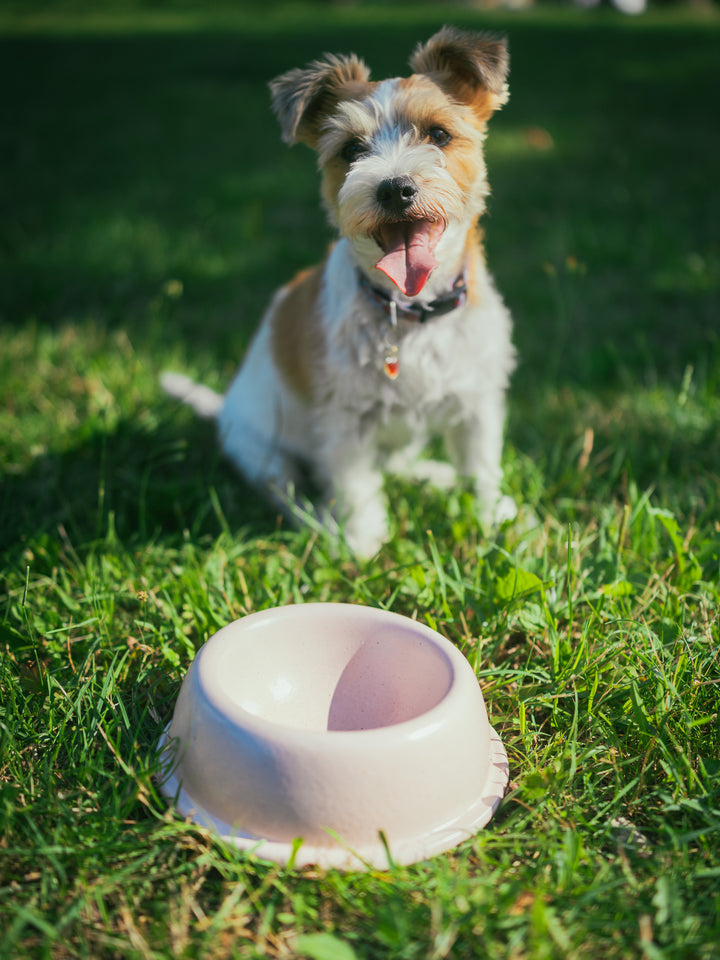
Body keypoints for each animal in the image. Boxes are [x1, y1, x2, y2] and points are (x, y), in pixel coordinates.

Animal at [161, 26, 516, 556]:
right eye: (351, 149)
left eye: (438, 134)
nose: (394, 188)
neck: (409, 311)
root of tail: (223, 408)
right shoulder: (346, 423)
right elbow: (357, 487)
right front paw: (363, 544)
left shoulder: (476, 405)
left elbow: (481, 469)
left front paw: (494, 518)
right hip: (265, 454)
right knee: (289, 495)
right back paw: (324, 525)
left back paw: (433, 475)